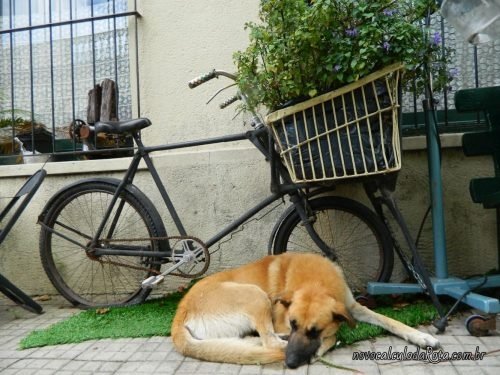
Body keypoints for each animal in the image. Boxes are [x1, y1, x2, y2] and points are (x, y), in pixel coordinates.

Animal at [171, 253, 438, 370]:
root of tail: (179, 314)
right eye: (293, 324)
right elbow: (333, 333)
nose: (290, 363)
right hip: (255, 295)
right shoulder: (282, 323)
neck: (315, 282)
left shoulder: (353, 307)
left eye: (313, 330)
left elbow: (390, 320)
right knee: (270, 342)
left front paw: (422, 336)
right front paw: (324, 344)